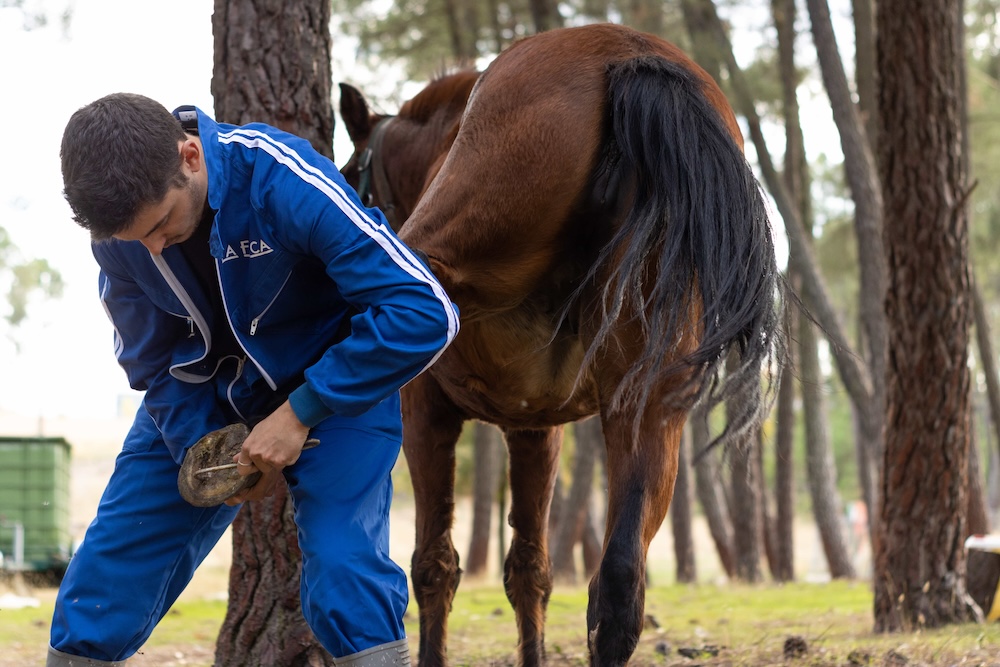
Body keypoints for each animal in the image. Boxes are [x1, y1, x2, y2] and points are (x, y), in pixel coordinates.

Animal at [336, 22, 780, 667]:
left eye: (351, 173)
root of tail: (628, 56)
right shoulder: (535, 429)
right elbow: (530, 569)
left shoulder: (426, 411)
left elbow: (436, 566)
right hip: (648, 408)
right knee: (618, 586)